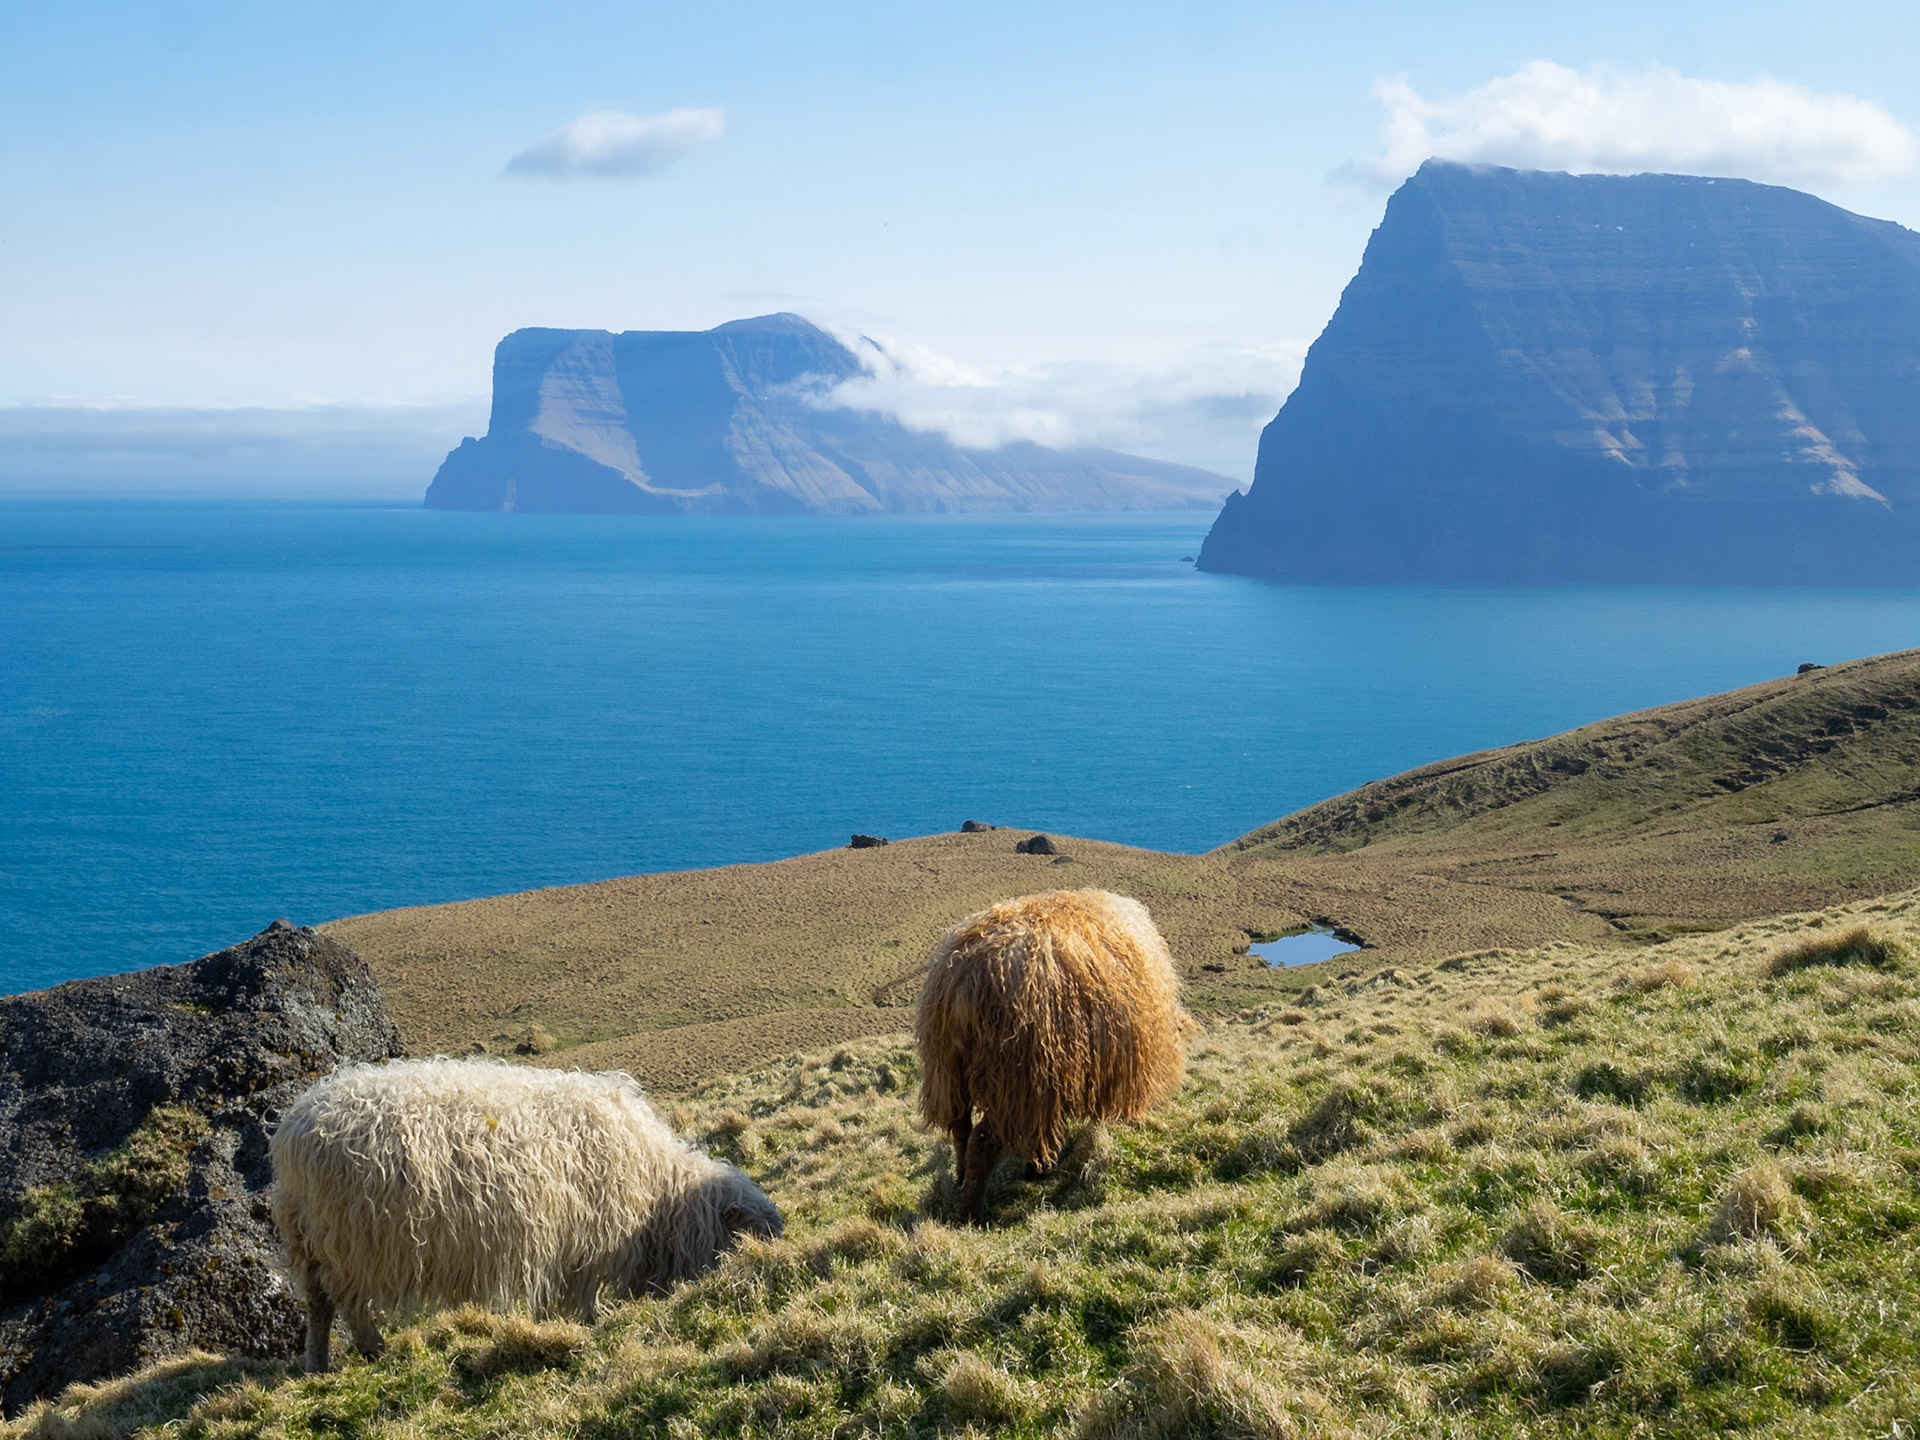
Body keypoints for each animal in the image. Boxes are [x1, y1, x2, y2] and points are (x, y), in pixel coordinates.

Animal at [269, 1057, 781, 1373]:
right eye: (744, 1233)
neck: (660, 1191)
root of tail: (295, 1127)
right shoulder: (587, 1234)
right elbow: (581, 1291)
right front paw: (589, 1321)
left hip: (310, 1238)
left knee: (318, 1304)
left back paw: (317, 1365)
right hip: (351, 1240)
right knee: (347, 1302)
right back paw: (372, 1348)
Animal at [916, 888, 1192, 1222]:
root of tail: (963, 982)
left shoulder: (1053, 1083)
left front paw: (1038, 1167)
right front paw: (1040, 1167)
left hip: (949, 1074)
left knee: (960, 1130)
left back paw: (960, 1180)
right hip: (1012, 1081)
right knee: (981, 1142)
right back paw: (970, 1213)